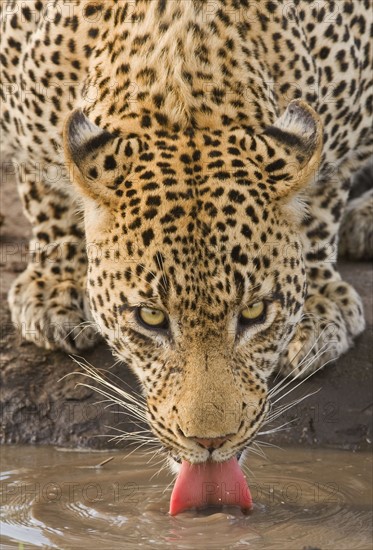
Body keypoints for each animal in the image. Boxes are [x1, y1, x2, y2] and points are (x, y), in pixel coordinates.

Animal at [0, 0, 370, 506]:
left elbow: (325, 193)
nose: (210, 442)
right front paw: (52, 289)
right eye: (151, 318)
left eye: (254, 313)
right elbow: (44, 187)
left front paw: (317, 310)